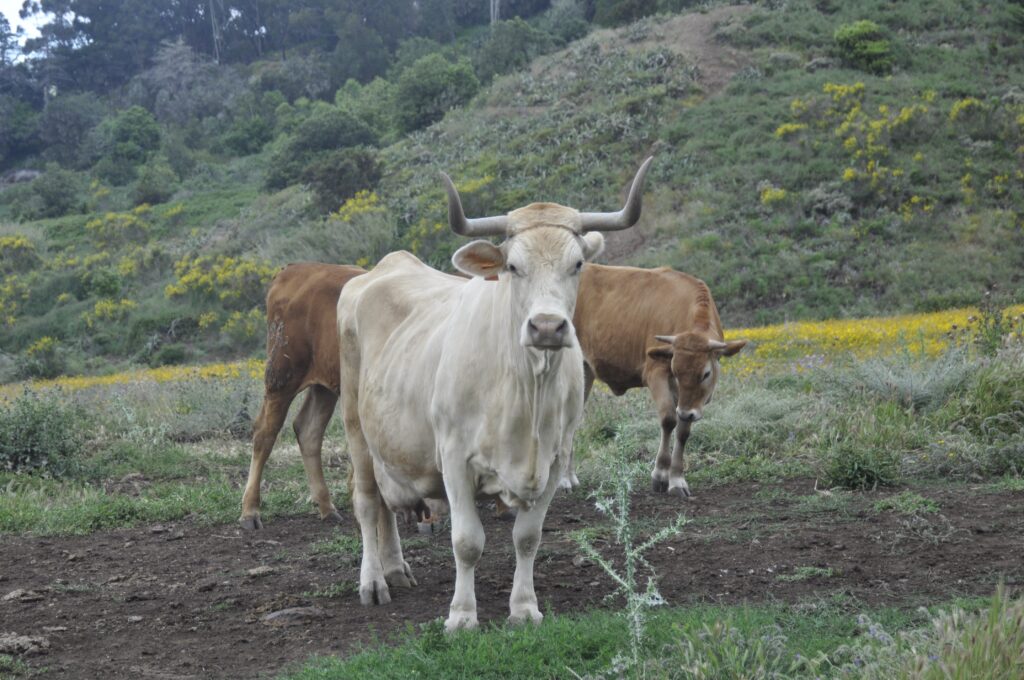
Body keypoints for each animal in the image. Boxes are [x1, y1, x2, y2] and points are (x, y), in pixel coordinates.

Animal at [237, 260, 366, 532]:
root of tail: (296, 268)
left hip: (325, 385)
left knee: (308, 429)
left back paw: (327, 507)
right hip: (282, 375)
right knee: (265, 432)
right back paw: (250, 512)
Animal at [339, 156, 651, 630]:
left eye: (578, 263)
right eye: (513, 267)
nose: (546, 327)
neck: (526, 392)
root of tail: (382, 269)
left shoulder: (555, 460)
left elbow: (528, 537)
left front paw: (523, 608)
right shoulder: (453, 457)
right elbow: (467, 541)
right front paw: (462, 616)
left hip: (387, 441)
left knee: (386, 503)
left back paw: (395, 568)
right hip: (355, 423)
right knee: (367, 501)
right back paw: (374, 581)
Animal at [573, 262, 749, 497]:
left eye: (705, 374)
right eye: (675, 369)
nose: (687, 412)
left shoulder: (688, 401)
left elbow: (683, 430)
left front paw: (677, 478)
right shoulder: (656, 372)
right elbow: (668, 419)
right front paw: (661, 475)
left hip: (585, 371)